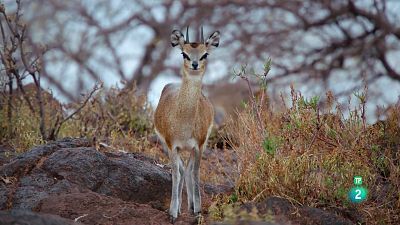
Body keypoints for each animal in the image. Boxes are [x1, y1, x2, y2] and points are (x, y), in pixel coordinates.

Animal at [155, 26, 220, 221]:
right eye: (184, 53)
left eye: (205, 54)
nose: (195, 64)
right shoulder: (172, 146)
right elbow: (176, 174)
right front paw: (172, 213)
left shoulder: (198, 146)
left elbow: (196, 173)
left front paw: (198, 210)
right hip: (166, 146)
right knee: (182, 169)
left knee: (189, 169)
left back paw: (191, 205)